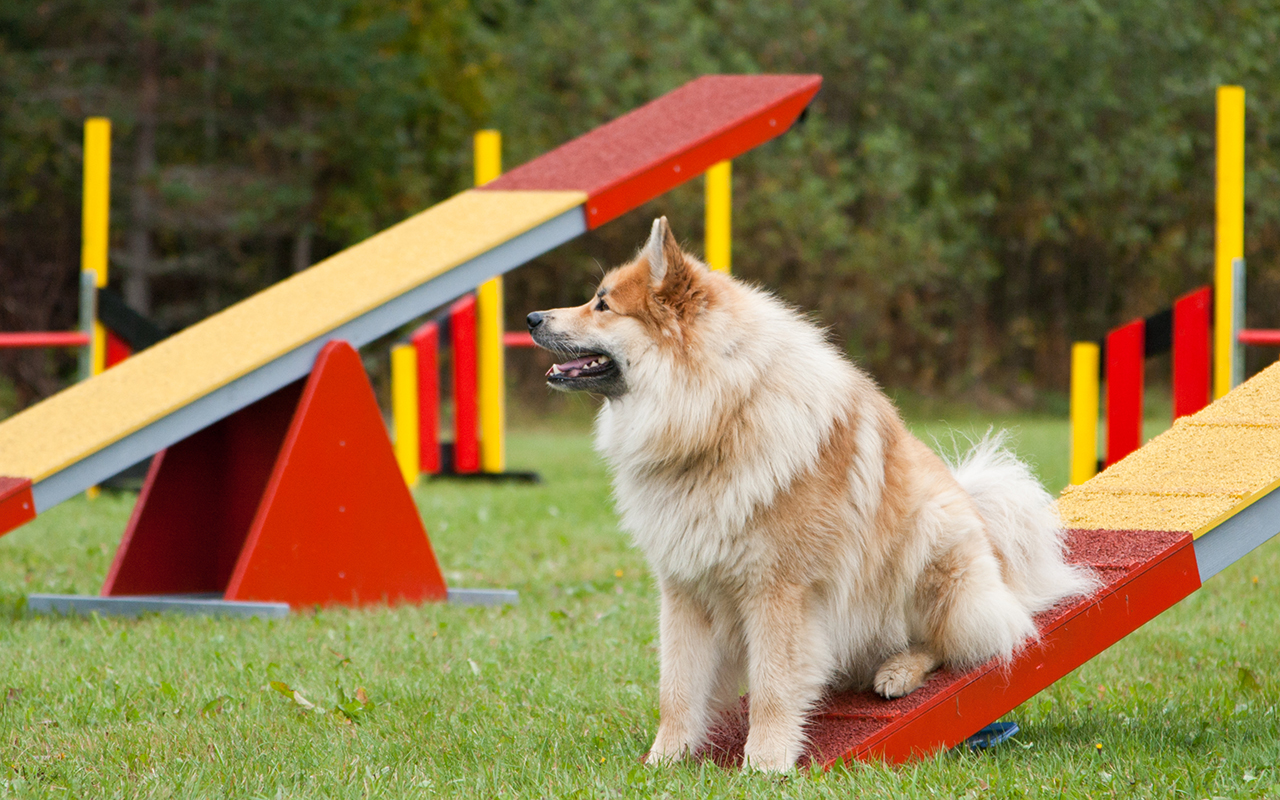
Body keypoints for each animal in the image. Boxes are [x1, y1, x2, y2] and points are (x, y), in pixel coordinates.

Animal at [524, 215, 1095, 773]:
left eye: (602, 304)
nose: (531, 317)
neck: (719, 418)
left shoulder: (780, 590)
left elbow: (774, 683)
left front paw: (766, 761)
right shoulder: (685, 590)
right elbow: (678, 687)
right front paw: (666, 759)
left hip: (930, 546)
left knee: (958, 643)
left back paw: (897, 670)